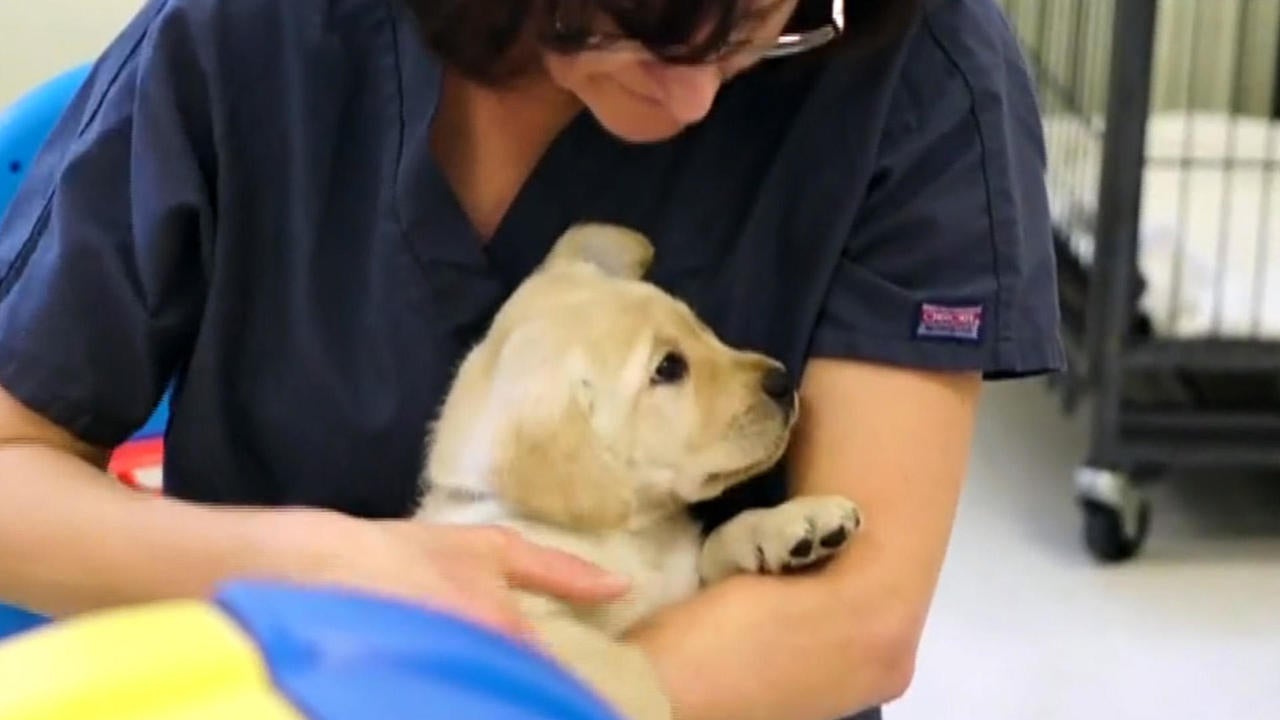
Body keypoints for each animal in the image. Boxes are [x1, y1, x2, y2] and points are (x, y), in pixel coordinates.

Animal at [414, 222, 865, 717]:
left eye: (699, 328)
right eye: (668, 368)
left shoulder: (682, 591)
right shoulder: (516, 612)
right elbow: (616, 663)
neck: (634, 535)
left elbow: (713, 548)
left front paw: (792, 521)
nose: (784, 381)